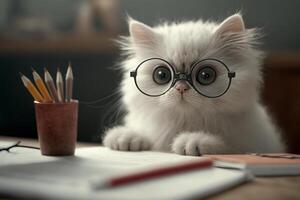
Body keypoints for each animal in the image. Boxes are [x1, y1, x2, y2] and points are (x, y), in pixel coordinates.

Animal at [102, 14, 284, 155]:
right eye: (162, 75)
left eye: (206, 75)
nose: (181, 87)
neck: (185, 122)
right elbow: (147, 136)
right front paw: (125, 137)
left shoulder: (252, 146)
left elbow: (227, 146)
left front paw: (193, 141)